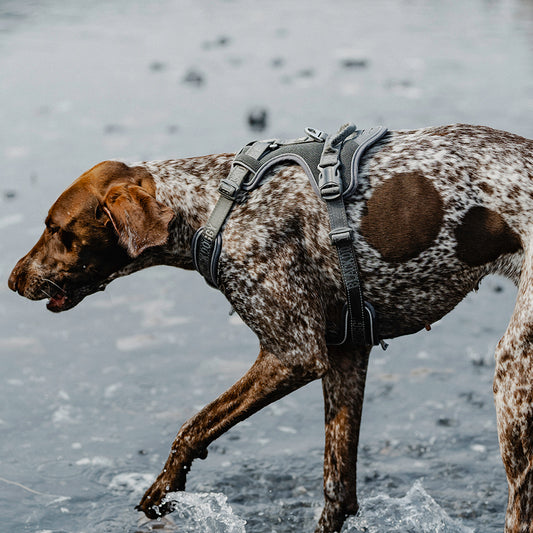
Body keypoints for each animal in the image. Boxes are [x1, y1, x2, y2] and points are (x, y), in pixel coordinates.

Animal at [7, 124, 532, 532]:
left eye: (55, 228)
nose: (13, 280)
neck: (218, 205)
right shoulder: (346, 354)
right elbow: (338, 491)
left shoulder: (293, 354)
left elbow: (193, 427)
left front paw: (162, 489)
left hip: (512, 377)